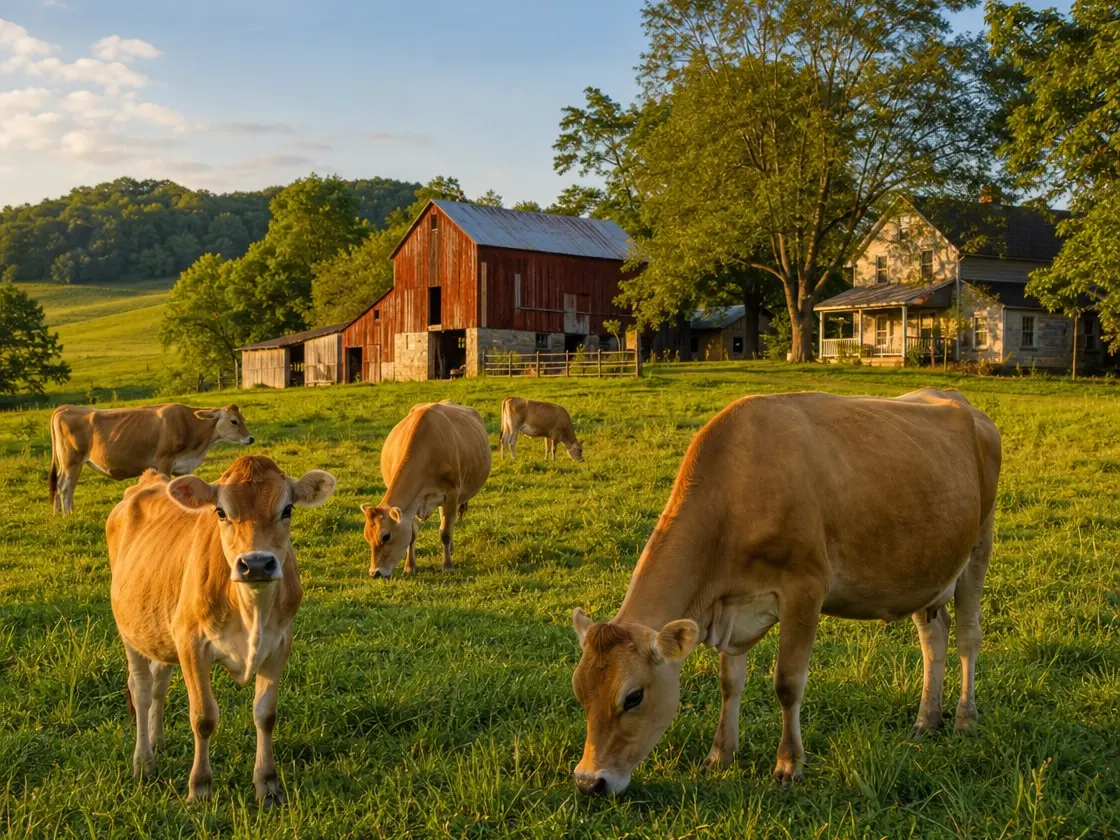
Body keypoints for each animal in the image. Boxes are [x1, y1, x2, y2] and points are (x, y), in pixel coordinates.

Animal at [49, 403, 254, 513]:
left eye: (243, 419)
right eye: (234, 421)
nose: (251, 438)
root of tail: (65, 407)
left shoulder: (182, 467)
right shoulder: (164, 461)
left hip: (71, 463)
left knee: (60, 485)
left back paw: (59, 513)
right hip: (71, 461)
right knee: (65, 487)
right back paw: (68, 514)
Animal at [105, 455, 336, 805]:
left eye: (288, 509)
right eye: (221, 512)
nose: (256, 564)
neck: (251, 611)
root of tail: (149, 480)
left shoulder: (279, 644)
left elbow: (265, 714)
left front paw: (268, 784)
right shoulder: (191, 643)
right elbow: (203, 717)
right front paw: (200, 787)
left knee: (159, 683)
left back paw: (157, 739)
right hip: (129, 630)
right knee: (141, 689)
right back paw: (144, 761)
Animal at [362, 401, 491, 578]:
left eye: (386, 536)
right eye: (366, 536)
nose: (375, 573)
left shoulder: (451, 493)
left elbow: (445, 532)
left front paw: (447, 566)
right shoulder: (411, 506)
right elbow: (412, 534)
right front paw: (410, 566)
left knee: (448, 523)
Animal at [569, 388, 1001, 796]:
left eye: (633, 697)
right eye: (579, 692)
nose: (590, 782)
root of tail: (962, 402)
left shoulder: (805, 588)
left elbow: (788, 683)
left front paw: (789, 764)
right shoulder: (732, 605)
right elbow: (730, 682)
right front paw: (719, 755)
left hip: (979, 545)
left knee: (968, 637)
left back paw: (965, 718)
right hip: (924, 568)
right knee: (934, 636)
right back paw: (927, 719)